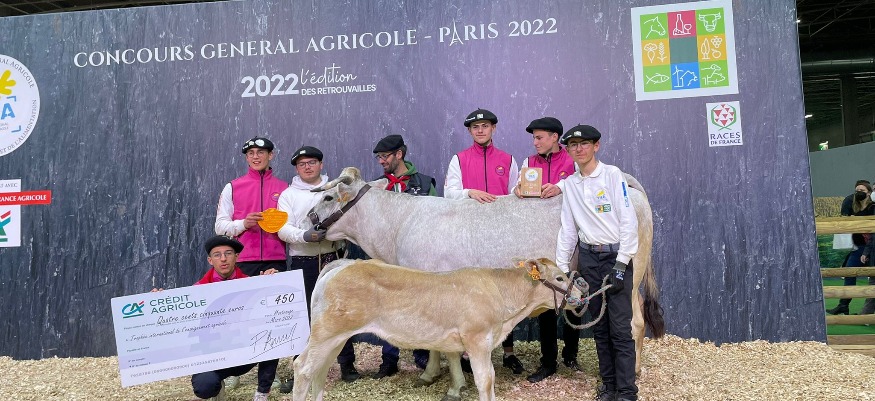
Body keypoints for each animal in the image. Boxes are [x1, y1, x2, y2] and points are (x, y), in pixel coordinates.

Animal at [292, 258, 584, 401]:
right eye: (559, 278)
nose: (582, 295)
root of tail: (342, 264)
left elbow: (489, 377)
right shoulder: (477, 339)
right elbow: (485, 380)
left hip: (336, 338)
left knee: (318, 370)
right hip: (327, 332)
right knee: (303, 367)